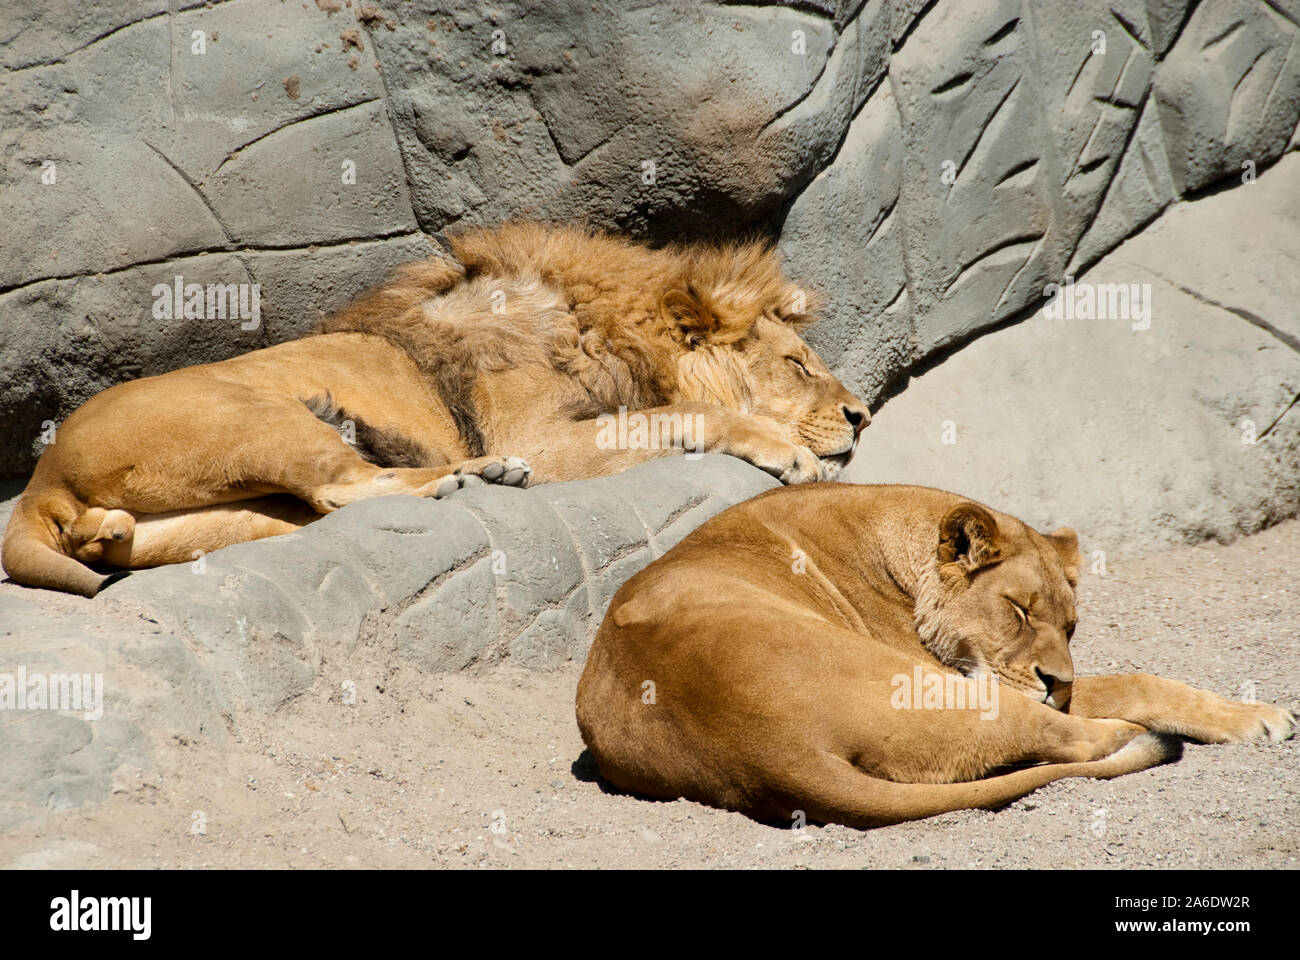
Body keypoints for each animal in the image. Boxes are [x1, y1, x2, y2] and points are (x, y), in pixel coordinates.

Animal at [2, 223, 870, 597]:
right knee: (345, 486)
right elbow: (692, 416)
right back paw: (475, 475)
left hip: (221, 517)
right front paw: (786, 448)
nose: (862, 415)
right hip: (259, 417)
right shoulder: (543, 435)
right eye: (798, 364)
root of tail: (41, 474)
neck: (603, 329)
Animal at [576, 483, 1296, 828]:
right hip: (957, 693)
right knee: (1077, 738)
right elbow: (1137, 681)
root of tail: (763, 749)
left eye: (1071, 625)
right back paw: (1134, 735)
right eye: (1019, 610)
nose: (1056, 679)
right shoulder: (988, 676)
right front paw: (1255, 718)